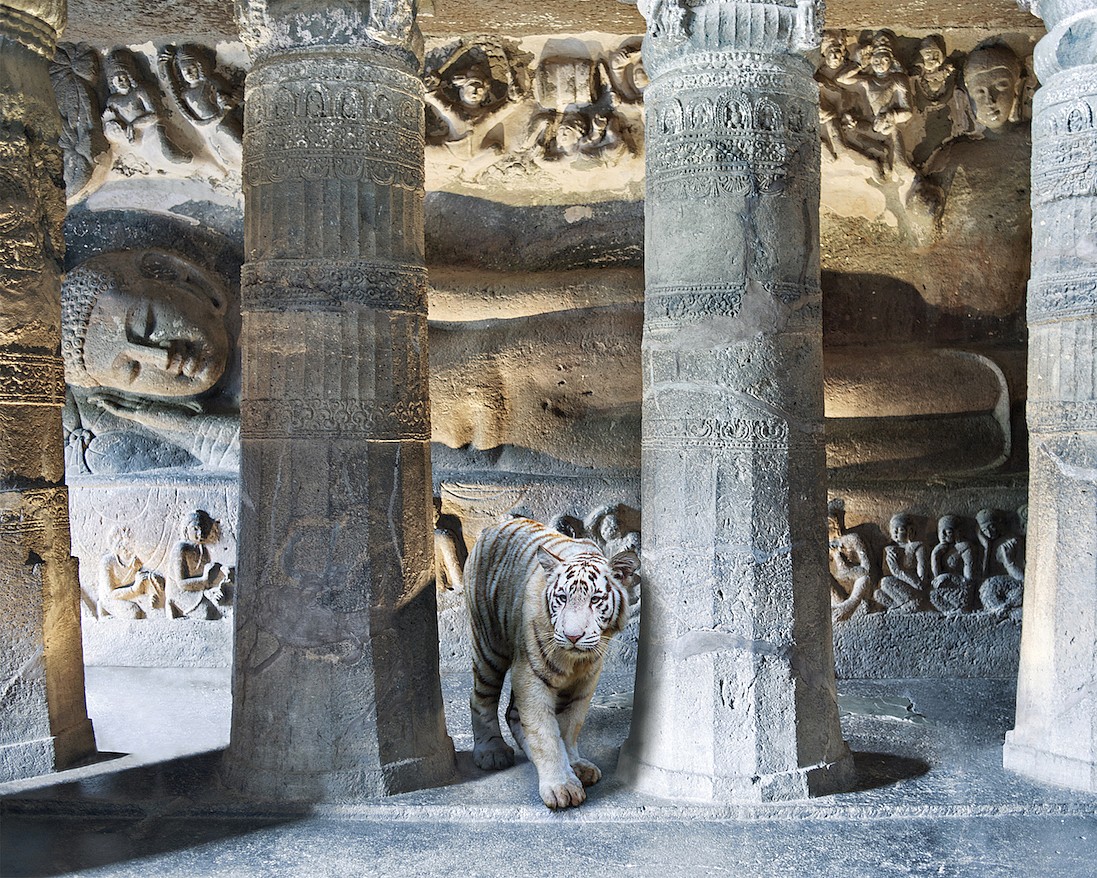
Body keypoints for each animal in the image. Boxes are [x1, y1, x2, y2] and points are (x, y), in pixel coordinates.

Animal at [465, 513, 640, 807]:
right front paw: (561, 787)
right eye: (562, 598)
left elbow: (568, 727)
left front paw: (575, 766)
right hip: (490, 644)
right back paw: (491, 751)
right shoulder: (531, 675)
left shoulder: (585, 683)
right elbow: (544, 732)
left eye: (595, 599)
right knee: (481, 697)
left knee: (513, 713)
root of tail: (496, 524)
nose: (572, 636)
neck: (575, 661)